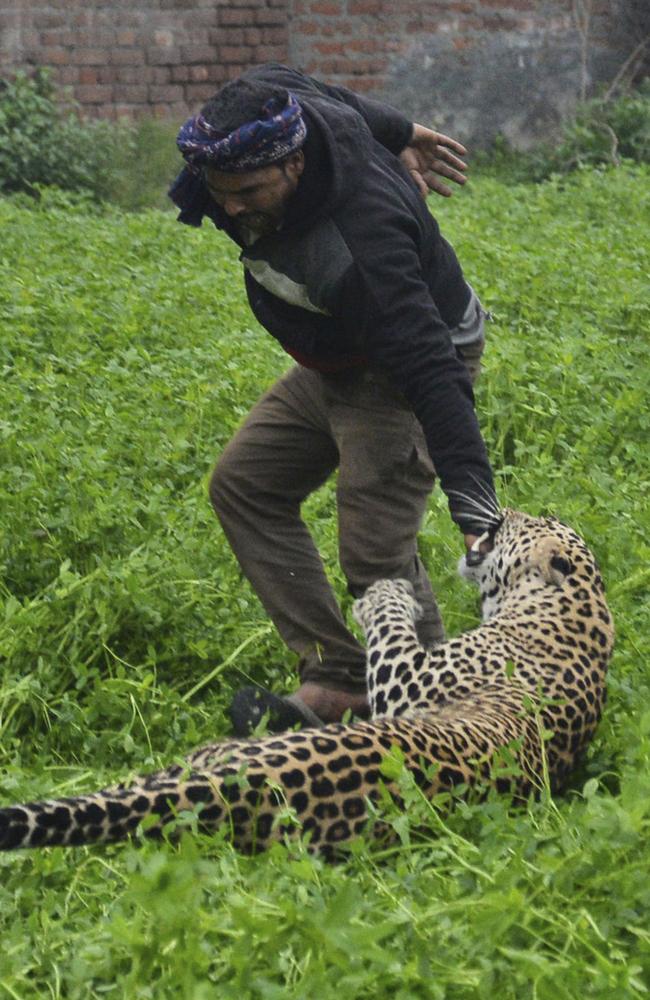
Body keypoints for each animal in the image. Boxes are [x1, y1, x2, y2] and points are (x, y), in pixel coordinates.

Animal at [0, 512, 612, 856]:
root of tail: (233, 792)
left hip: (210, 757)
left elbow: (391, 630)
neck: (572, 604)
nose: (501, 507)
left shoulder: (411, 681)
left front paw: (383, 594)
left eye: (522, 522)